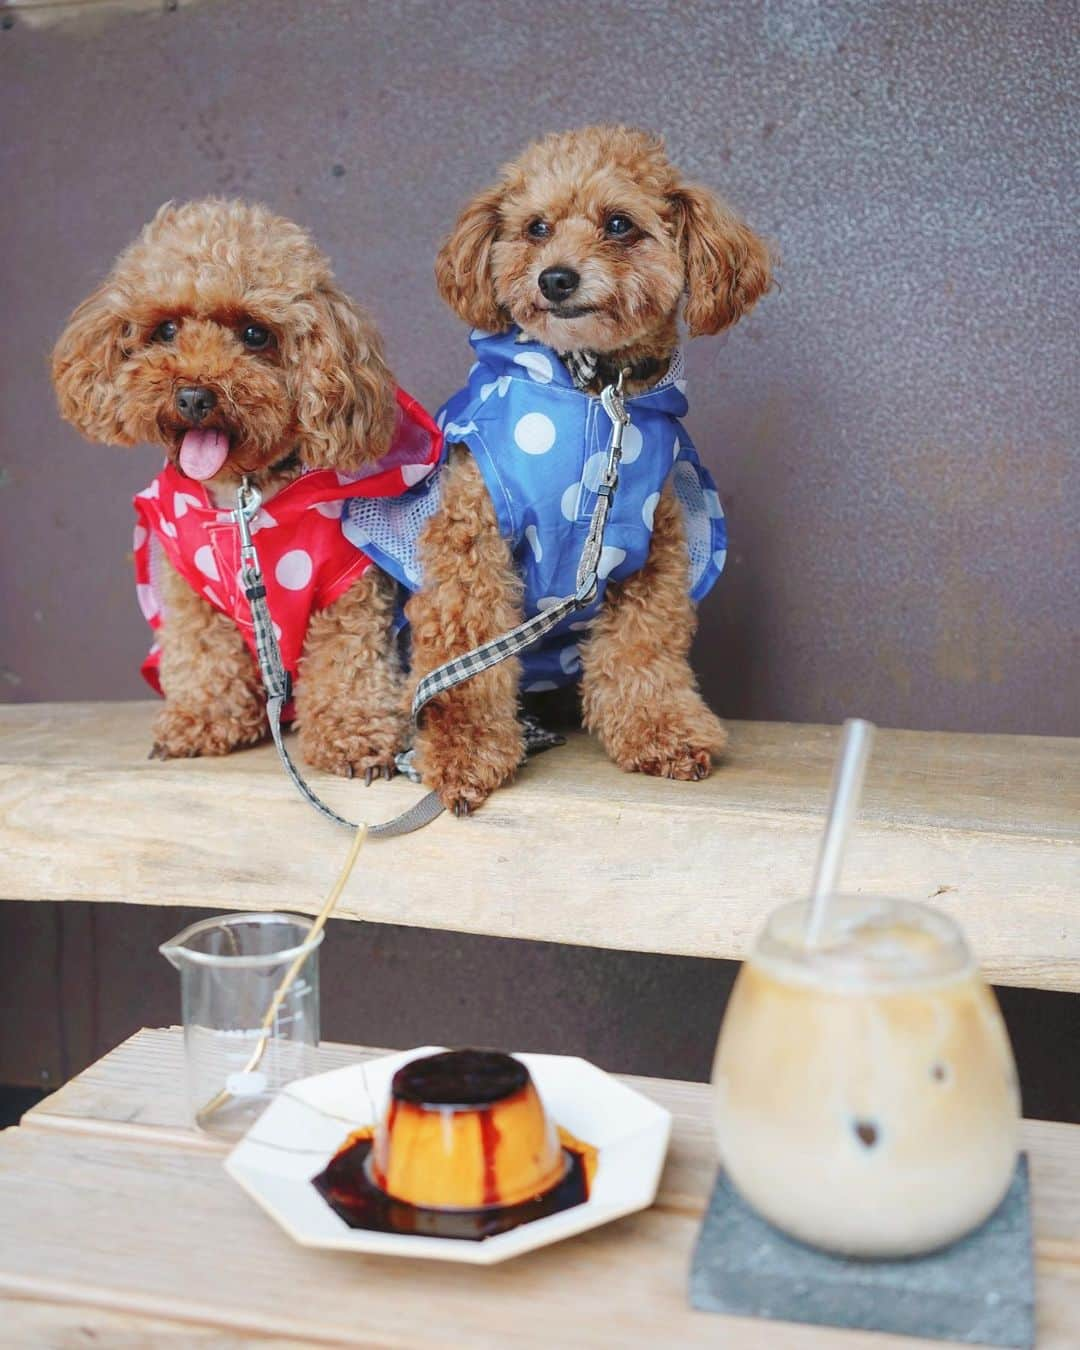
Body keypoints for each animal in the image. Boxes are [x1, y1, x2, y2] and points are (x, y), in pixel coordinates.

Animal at [50, 195, 413, 777]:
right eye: (166, 329)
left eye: (255, 334)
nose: (195, 396)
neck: (241, 497)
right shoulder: (189, 589)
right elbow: (203, 654)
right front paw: (201, 719)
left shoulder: (349, 591)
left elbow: (348, 664)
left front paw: (356, 733)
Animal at [410, 126, 772, 810]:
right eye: (536, 227)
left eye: (619, 224)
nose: (556, 278)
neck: (594, 391)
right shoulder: (473, 541)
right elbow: (465, 658)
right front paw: (462, 753)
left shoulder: (650, 553)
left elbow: (642, 649)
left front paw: (661, 732)